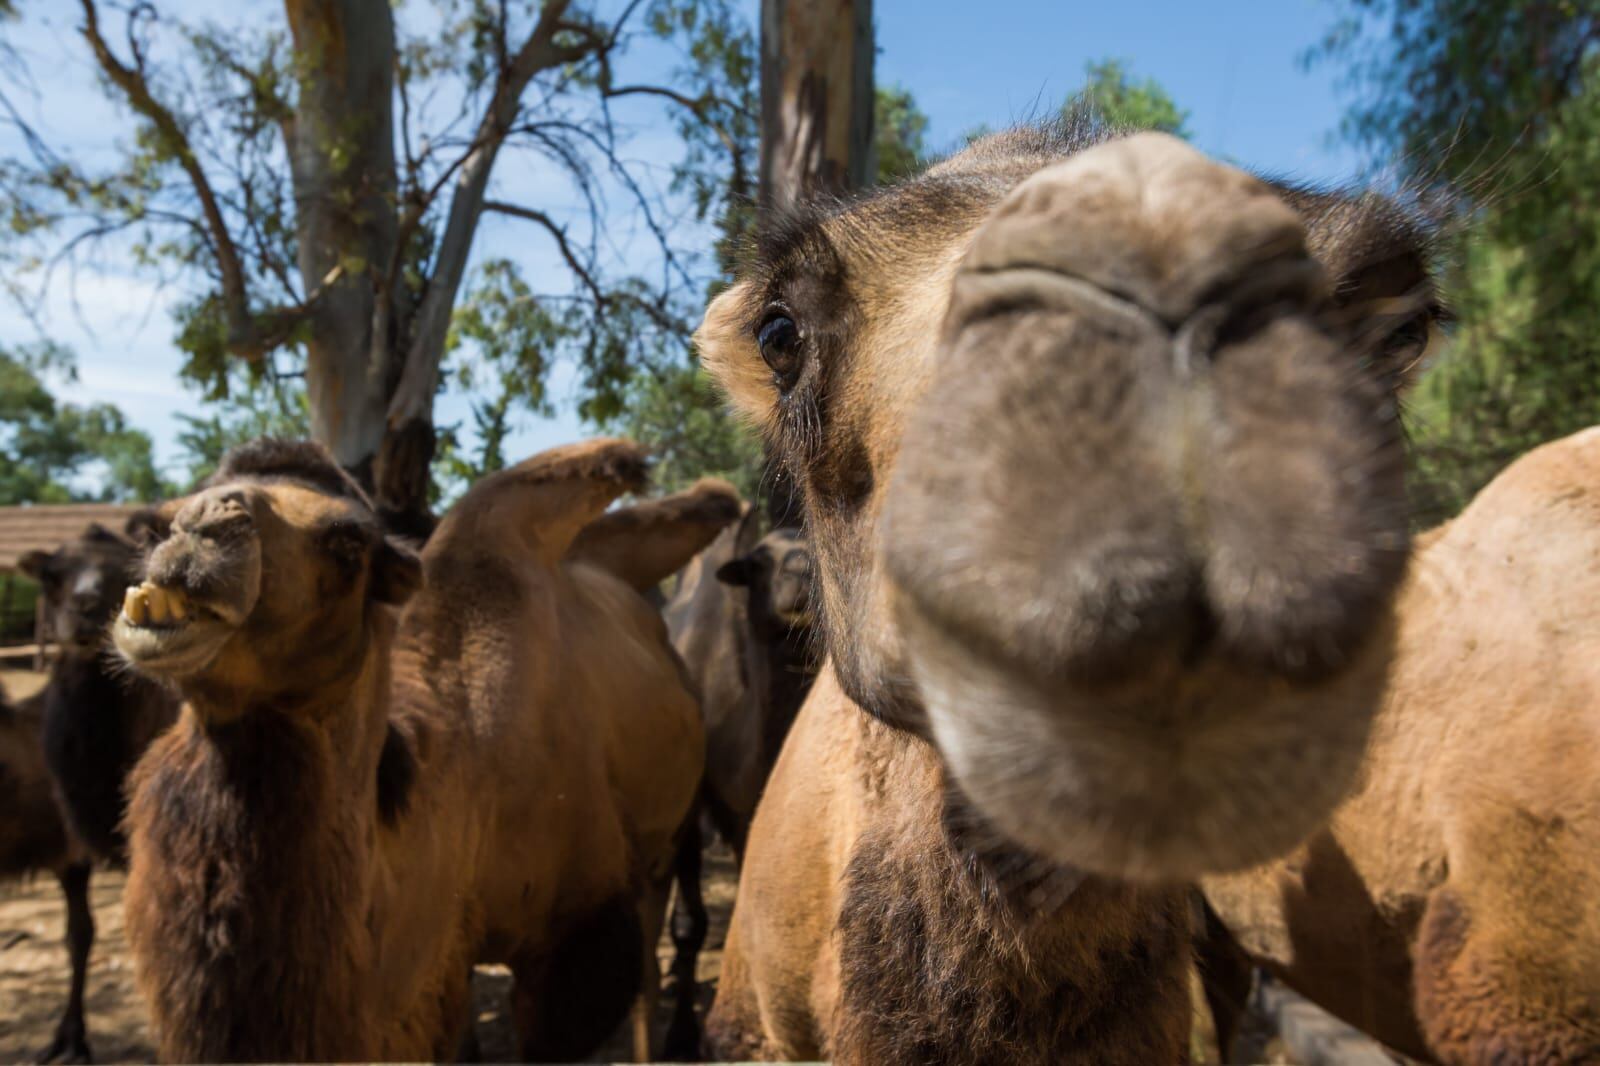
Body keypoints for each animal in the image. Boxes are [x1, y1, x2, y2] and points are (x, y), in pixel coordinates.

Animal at [112, 435, 732, 1056]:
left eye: (348, 541)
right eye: (160, 521)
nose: (198, 525)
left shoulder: (576, 937)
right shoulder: (442, 966)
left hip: (669, 834)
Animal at [656, 512, 819, 1049]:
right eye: (758, 561)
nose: (803, 575)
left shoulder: (752, 812)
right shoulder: (694, 808)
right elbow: (690, 924)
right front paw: (681, 1034)